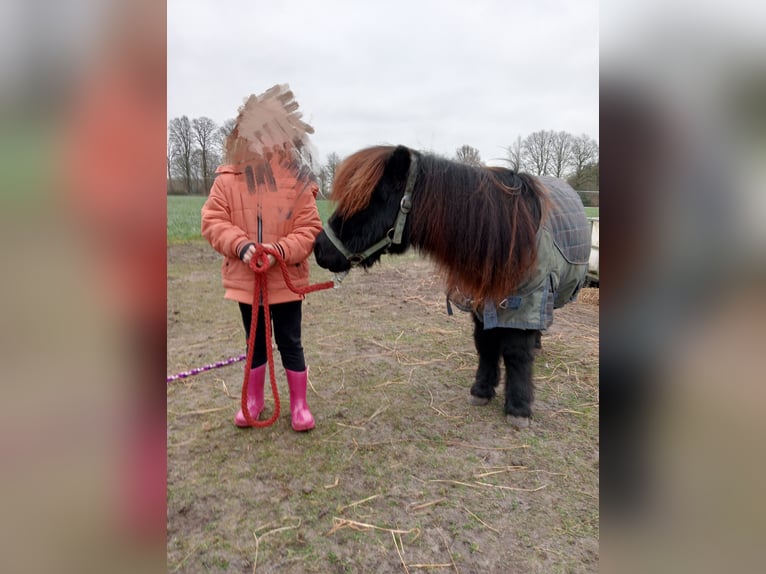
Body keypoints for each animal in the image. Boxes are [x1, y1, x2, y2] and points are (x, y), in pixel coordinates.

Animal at [316, 146, 592, 430]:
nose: (319, 249)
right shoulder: (480, 301)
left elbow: (516, 352)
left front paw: (518, 408)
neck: (505, 234)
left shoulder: (526, 300)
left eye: (370, 200)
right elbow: (485, 344)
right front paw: (481, 390)